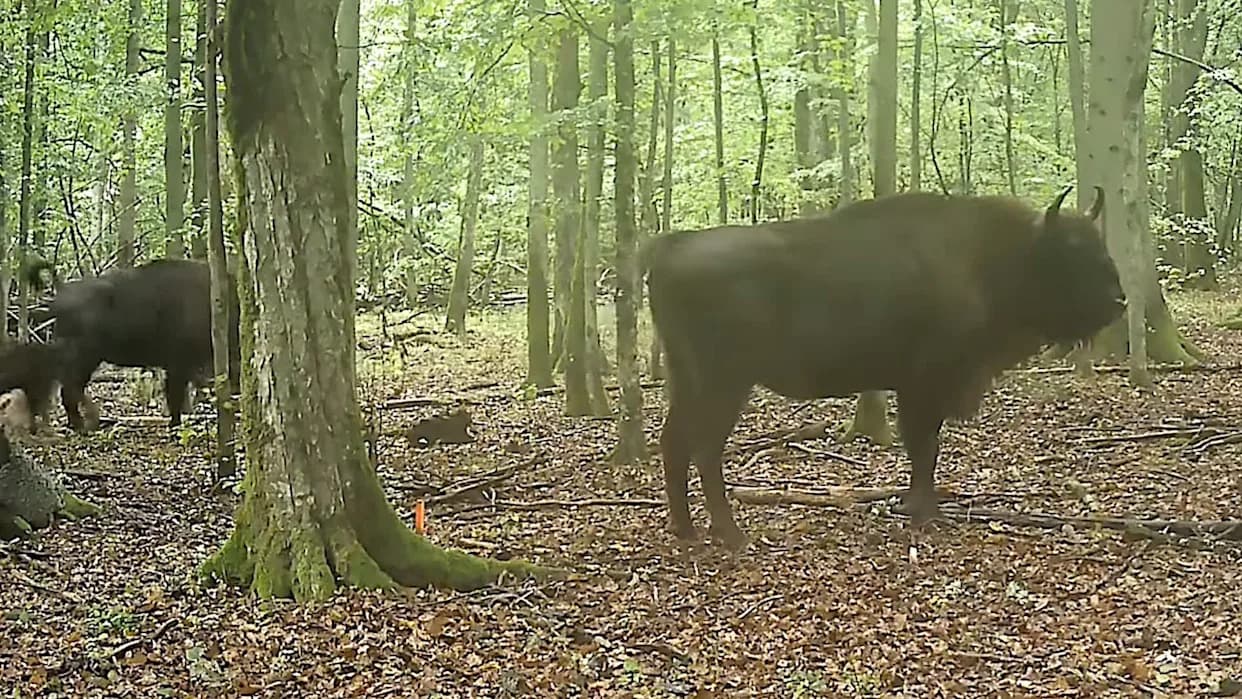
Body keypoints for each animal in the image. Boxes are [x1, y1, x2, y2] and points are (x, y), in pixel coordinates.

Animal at [644, 186, 1124, 549]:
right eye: (1072, 251)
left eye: (1101, 245)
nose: (1118, 302)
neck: (995, 255)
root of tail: (670, 248)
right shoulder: (925, 383)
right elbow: (924, 446)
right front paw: (924, 513)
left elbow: (922, 447)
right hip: (724, 382)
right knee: (705, 448)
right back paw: (731, 534)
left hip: (687, 379)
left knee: (674, 442)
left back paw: (686, 530)